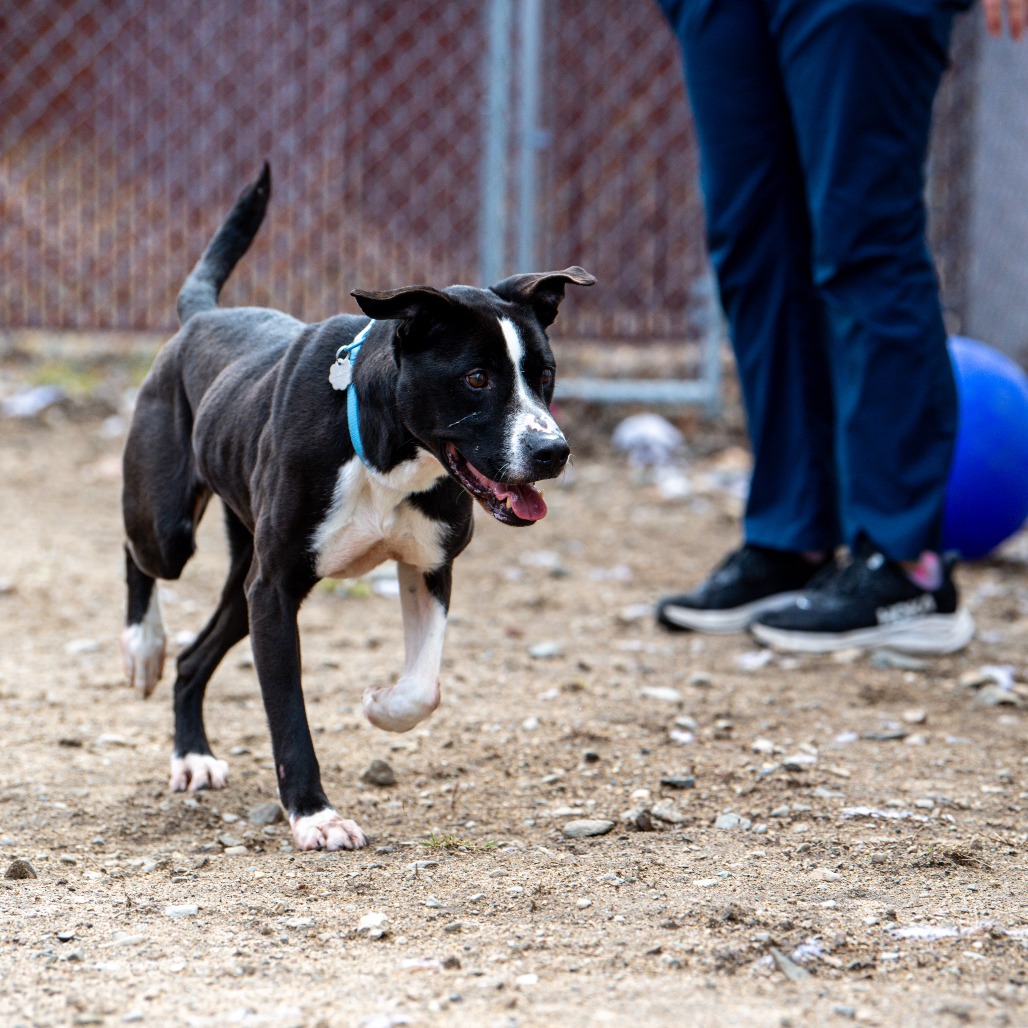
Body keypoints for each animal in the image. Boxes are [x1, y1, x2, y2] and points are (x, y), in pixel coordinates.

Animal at [120, 165, 594, 851]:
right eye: (477, 378)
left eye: (545, 374)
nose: (553, 451)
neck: (387, 451)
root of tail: (200, 318)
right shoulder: (275, 592)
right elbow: (288, 714)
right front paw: (315, 815)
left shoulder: (427, 565)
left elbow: (423, 688)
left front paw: (379, 702)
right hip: (173, 528)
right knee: (141, 557)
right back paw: (143, 648)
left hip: (242, 584)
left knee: (193, 659)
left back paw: (192, 754)